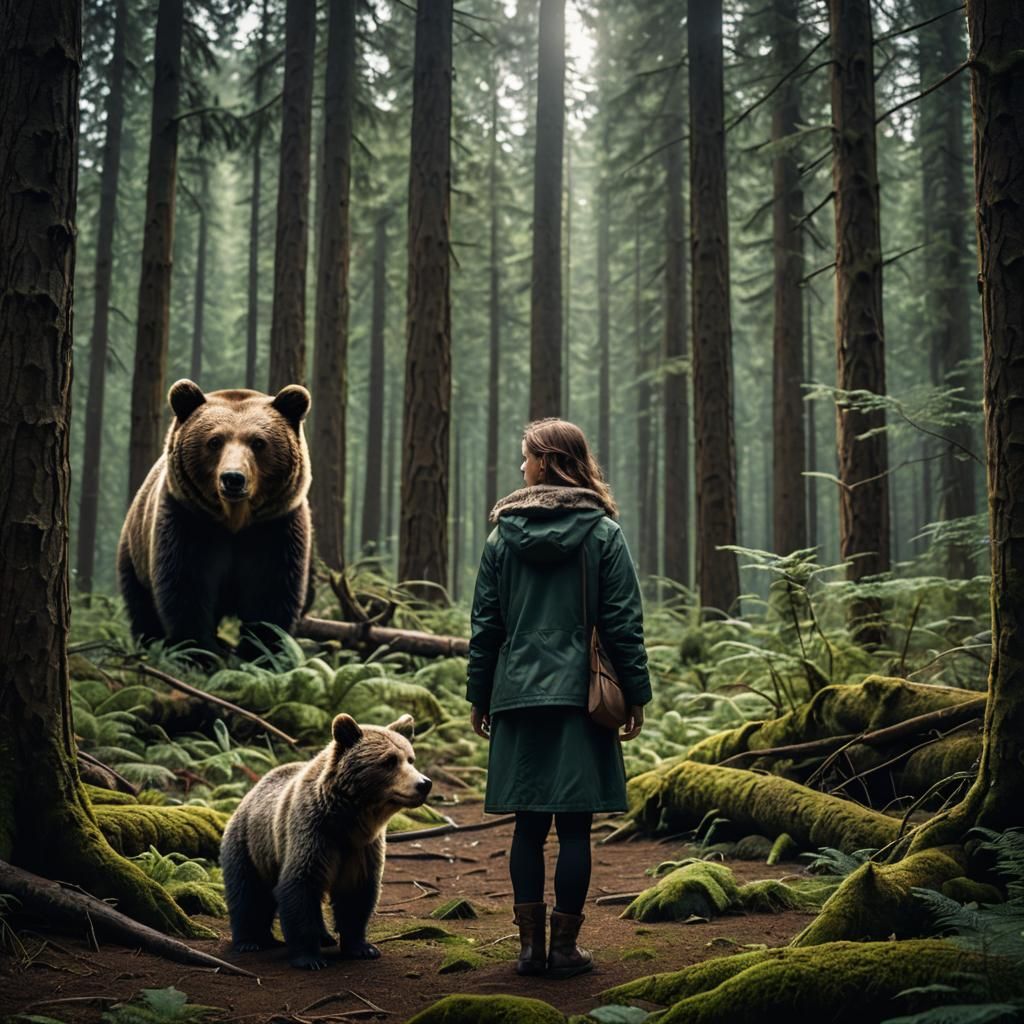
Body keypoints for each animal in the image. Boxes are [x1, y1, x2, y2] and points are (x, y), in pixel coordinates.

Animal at [117, 379, 313, 658]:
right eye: (214, 441)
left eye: (258, 442)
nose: (233, 478)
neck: (235, 521)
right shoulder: (188, 520)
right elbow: (186, 587)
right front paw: (200, 651)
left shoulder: (275, 527)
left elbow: (271, 592)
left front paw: (259, 652)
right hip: (135, 552)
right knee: (142, 606)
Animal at [220, 712, 432, 969]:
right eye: (389, 761)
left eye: (410, 758)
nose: (424, 783)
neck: (346, 821)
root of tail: (251, 792)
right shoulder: (313, 834)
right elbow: (299, 886)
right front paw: (309, 959)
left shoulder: (362, 848)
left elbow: (357, 895)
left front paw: (362, 947)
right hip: (249, 844)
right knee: (247, 892)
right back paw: (248, 941)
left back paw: (323, 936)